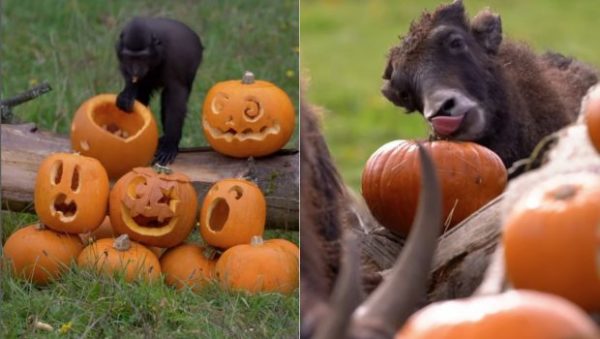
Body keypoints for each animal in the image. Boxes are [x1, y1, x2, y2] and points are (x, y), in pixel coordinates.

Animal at [115, 17, 204, 166]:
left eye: (142, 57)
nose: (136, 70)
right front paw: (126, 95)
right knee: (143, 92)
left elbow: (175, 99)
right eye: (130, 57)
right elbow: (132, 82)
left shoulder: (175, 59)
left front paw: (170, 145)